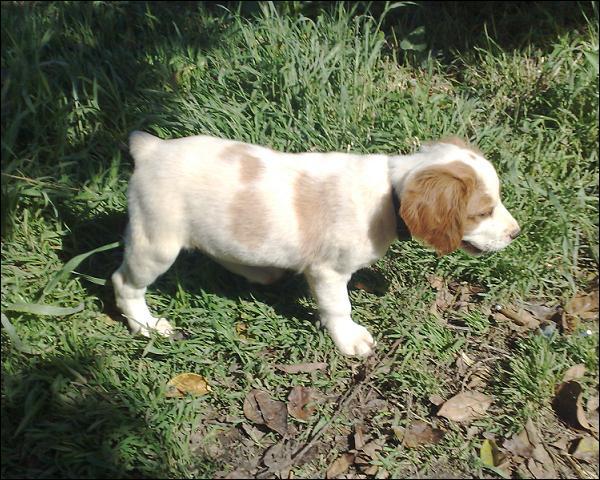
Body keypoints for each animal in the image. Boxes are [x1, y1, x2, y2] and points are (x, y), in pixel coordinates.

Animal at [112, 131, 520, 356]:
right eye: (483, 212)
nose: (516, 233)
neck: (388, 191)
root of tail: (151, 149)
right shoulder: (328, 272)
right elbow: (339, 307)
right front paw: (350, 340)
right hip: (156, 241)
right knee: (123, 282)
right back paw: (146, 325)